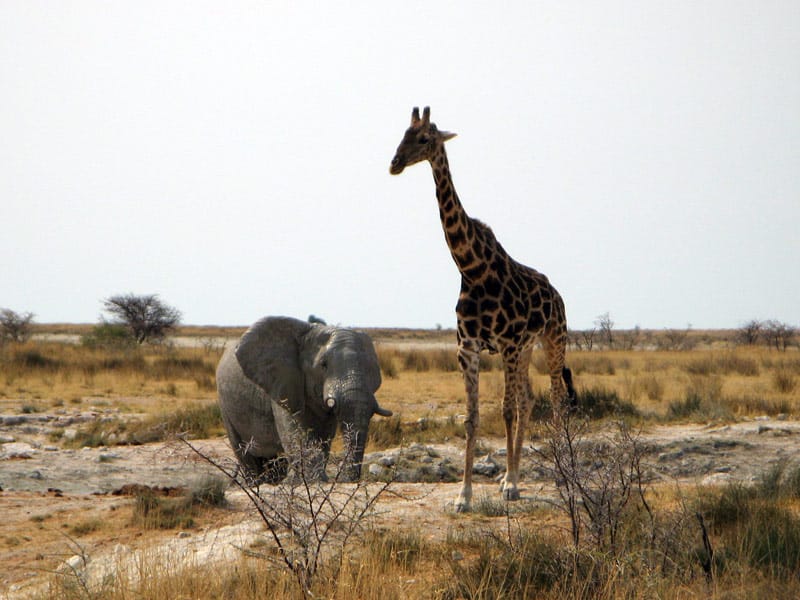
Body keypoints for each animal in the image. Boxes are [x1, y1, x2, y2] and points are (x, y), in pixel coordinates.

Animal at [216, 316, 392, 483]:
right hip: (225, 405)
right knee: (244, 453)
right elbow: (295, 433)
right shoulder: (283, 382)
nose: (343, 479)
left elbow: (324, 436)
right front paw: (311, 481)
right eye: (323, 365)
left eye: (370, 369)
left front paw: (313, 480)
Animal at [390, 106, 575, 512]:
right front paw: (466, 494)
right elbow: (472, 418)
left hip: (553, 340)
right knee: (528, 400)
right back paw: (511, 476)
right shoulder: (469, 348)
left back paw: (559, 472)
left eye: (424, 138)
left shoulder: (505, 345)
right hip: (526, 349)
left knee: (555, 397)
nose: (394, 164)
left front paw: (508, 486)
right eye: (401, 136)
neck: (471, 268)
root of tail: (556, 294)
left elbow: (504, 410)